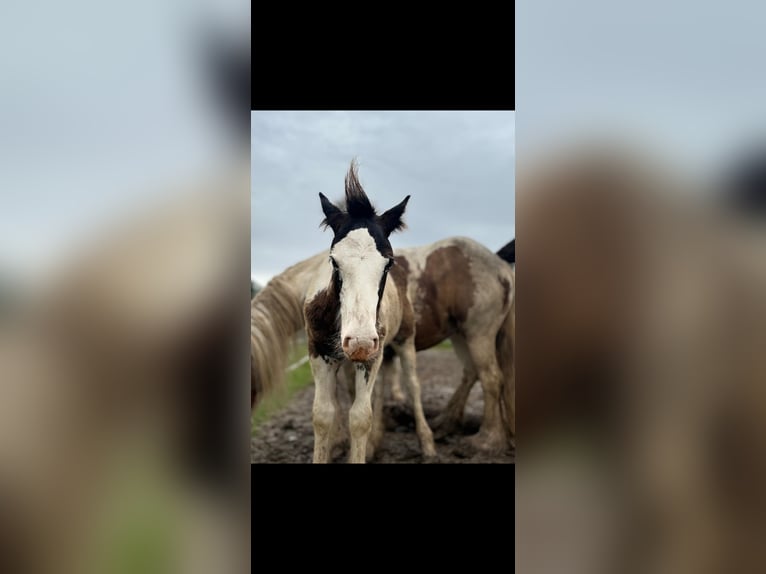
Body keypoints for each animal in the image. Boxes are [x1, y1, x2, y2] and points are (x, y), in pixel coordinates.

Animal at [249, 161, 436, 464]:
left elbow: (360, 417)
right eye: (334, 261)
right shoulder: (319, 353)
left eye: (388, 263)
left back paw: (427, 444)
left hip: (403, 341)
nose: (360, 341)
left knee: (412, 385)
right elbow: (323, 414)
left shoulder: (371, 356)